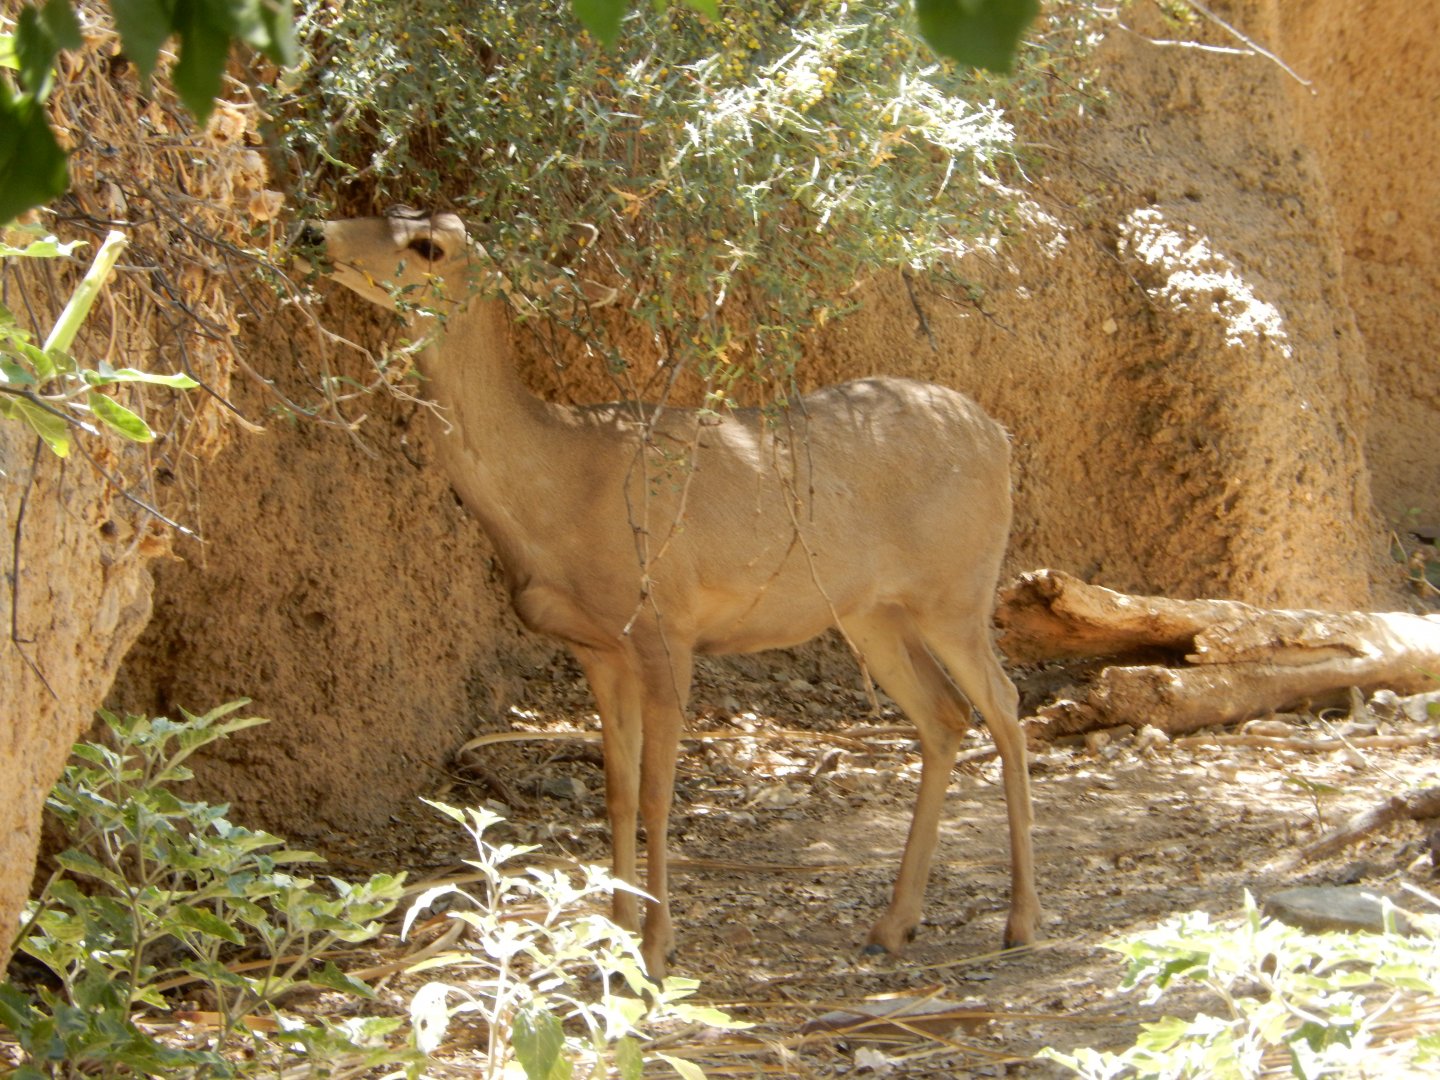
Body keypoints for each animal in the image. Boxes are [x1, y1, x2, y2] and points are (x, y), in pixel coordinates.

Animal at [296, 208, 1038, 979]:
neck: (555, 489)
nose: (313, 232)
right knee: (945, 715)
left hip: (960, 589)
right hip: (874, 612)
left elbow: (657, 794)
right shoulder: (597, 648)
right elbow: (618, 793)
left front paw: (655, 947)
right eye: (394, 208)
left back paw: (1021, 920)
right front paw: (613, 933)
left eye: (430, 246)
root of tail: (1000, 435)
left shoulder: (667, 628)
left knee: (1006, 704)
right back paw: (894, 925)